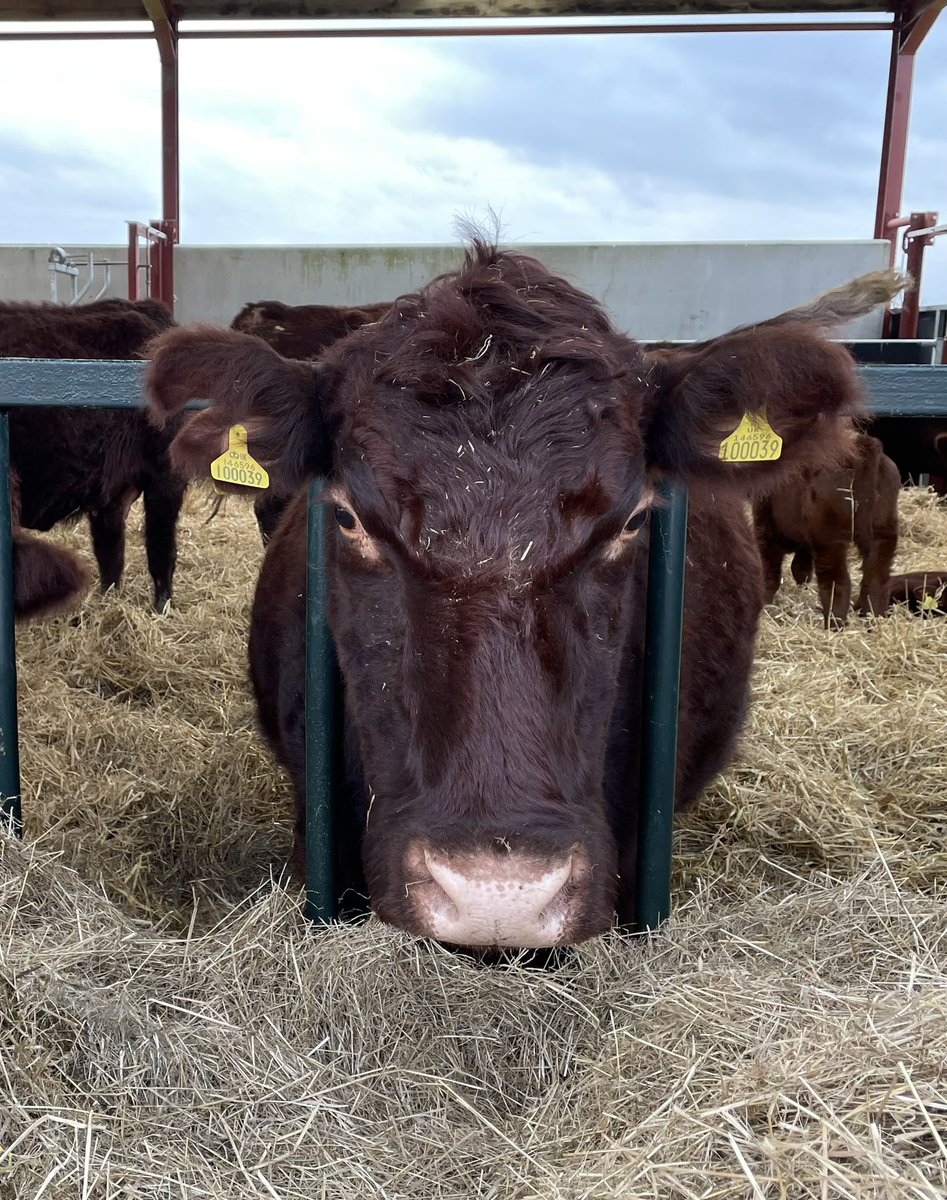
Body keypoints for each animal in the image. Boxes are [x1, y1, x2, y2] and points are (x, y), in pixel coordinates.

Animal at [748, 436, 897, 633]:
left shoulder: (765, 525)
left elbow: (770, 570)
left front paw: (765, 602)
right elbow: (800, 566)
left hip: (830, 540)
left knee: (838, 581)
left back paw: (833, 625)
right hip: (883, 533)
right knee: (876, 578)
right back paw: (873, 620)